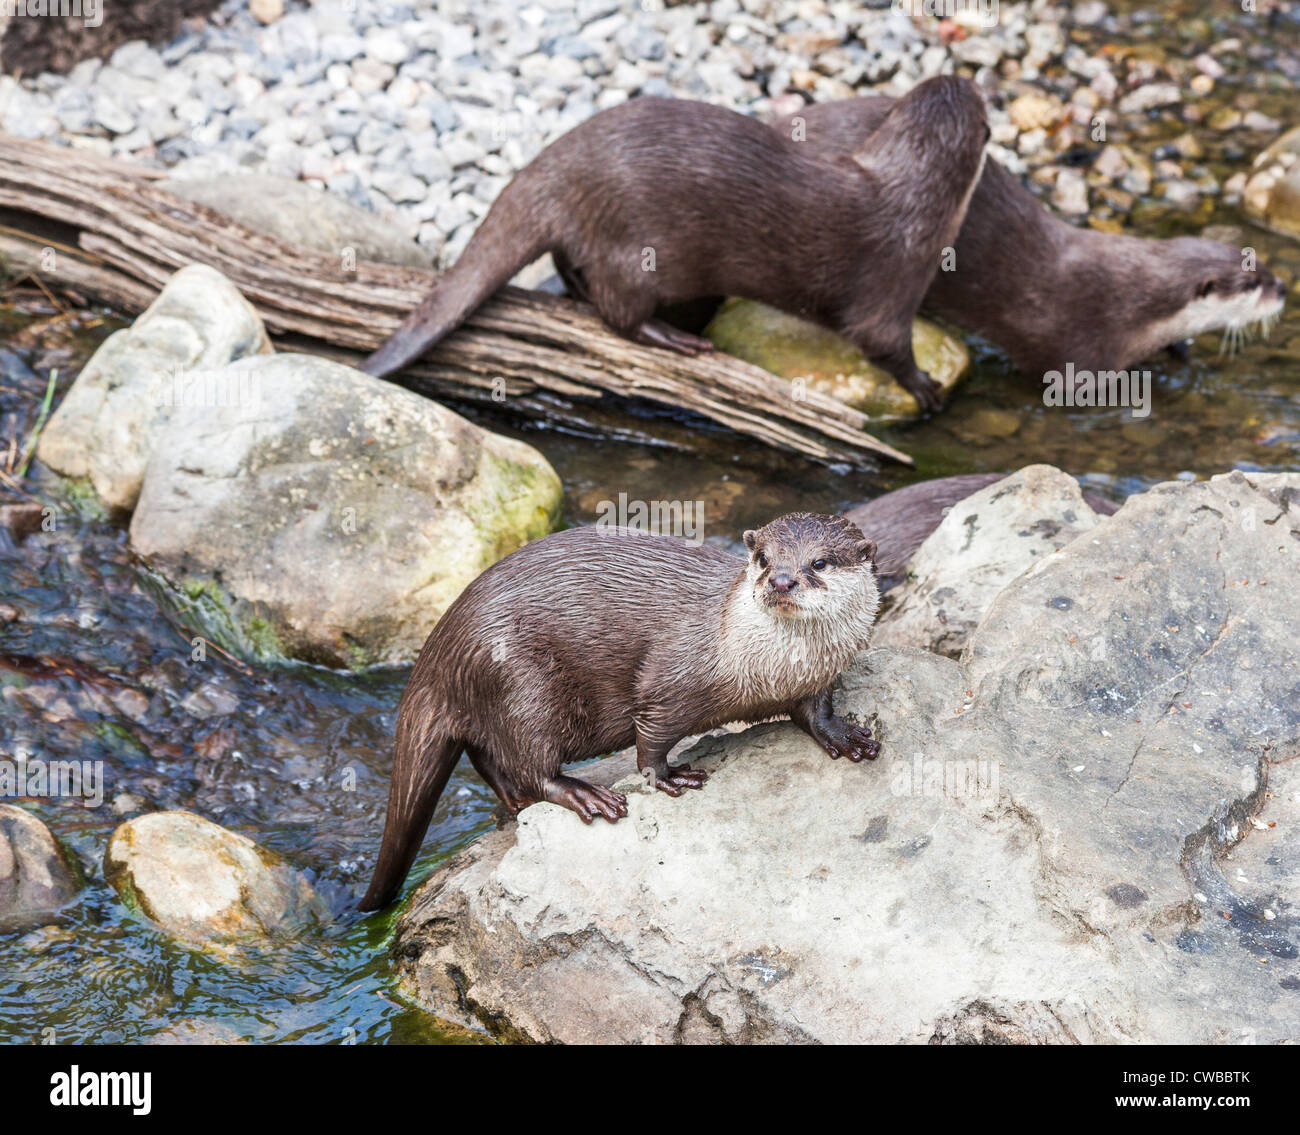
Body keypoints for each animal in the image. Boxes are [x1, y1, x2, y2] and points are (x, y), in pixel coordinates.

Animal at [359, 513, 882, 911]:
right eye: (763, 559)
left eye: (819, 561)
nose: (781, 580)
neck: (773, 668)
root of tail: (441, 647)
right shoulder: (671, 679)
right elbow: (651, 735)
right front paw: (666, 775)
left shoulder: (818, 679)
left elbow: (815, 712)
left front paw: (844, 735)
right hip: (521, 683)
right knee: (529, 761)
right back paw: (584, 794)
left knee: (487, 755)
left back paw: (517, 802)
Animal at [362, 77, 991, 412]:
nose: (971, 80)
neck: (910, 196)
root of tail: (559, 163)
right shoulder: (896, 272)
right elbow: (882, 340)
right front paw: (926, 387)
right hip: (633, 247)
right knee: (618, 312)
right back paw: (675, 338)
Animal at [770, 97, 1287, 377]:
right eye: (1252, 283)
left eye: (1260, 263)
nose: (1283, 288)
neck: (1134, 306)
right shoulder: (1083, 352)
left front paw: (1179, 348)